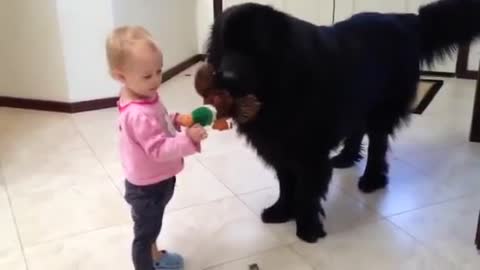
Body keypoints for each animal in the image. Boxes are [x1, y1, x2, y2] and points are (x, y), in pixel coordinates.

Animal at [197, 0, 480, 244]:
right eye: (224, 45)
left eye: (255, 47)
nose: (227, 78)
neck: (282, 83)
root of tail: (407, 20)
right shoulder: (278, 145)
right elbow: (286, 184)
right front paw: (281, 211)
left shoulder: (308, 151)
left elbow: (306, 190)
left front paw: (308, 228)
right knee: (357, 131)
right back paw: (346, 157)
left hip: (381, 109)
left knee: (378, 144)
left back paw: (372, 179)